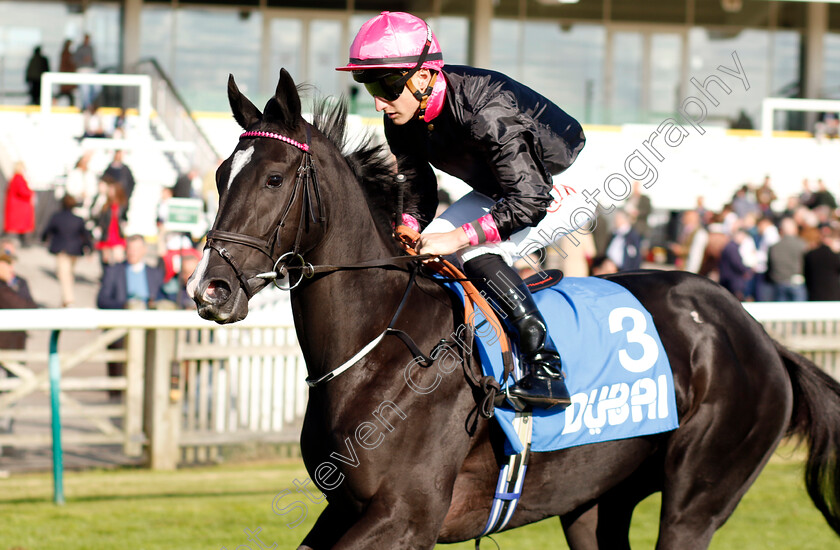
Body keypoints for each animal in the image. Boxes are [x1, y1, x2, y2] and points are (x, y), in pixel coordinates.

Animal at [189, 70, 840, 550]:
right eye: (220, 175)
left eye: (274, 178)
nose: (209, 289)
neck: (381, 347)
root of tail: (758, 335)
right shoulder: (346, 508)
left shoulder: (406, 515)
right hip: (595, 500)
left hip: (697, 499)